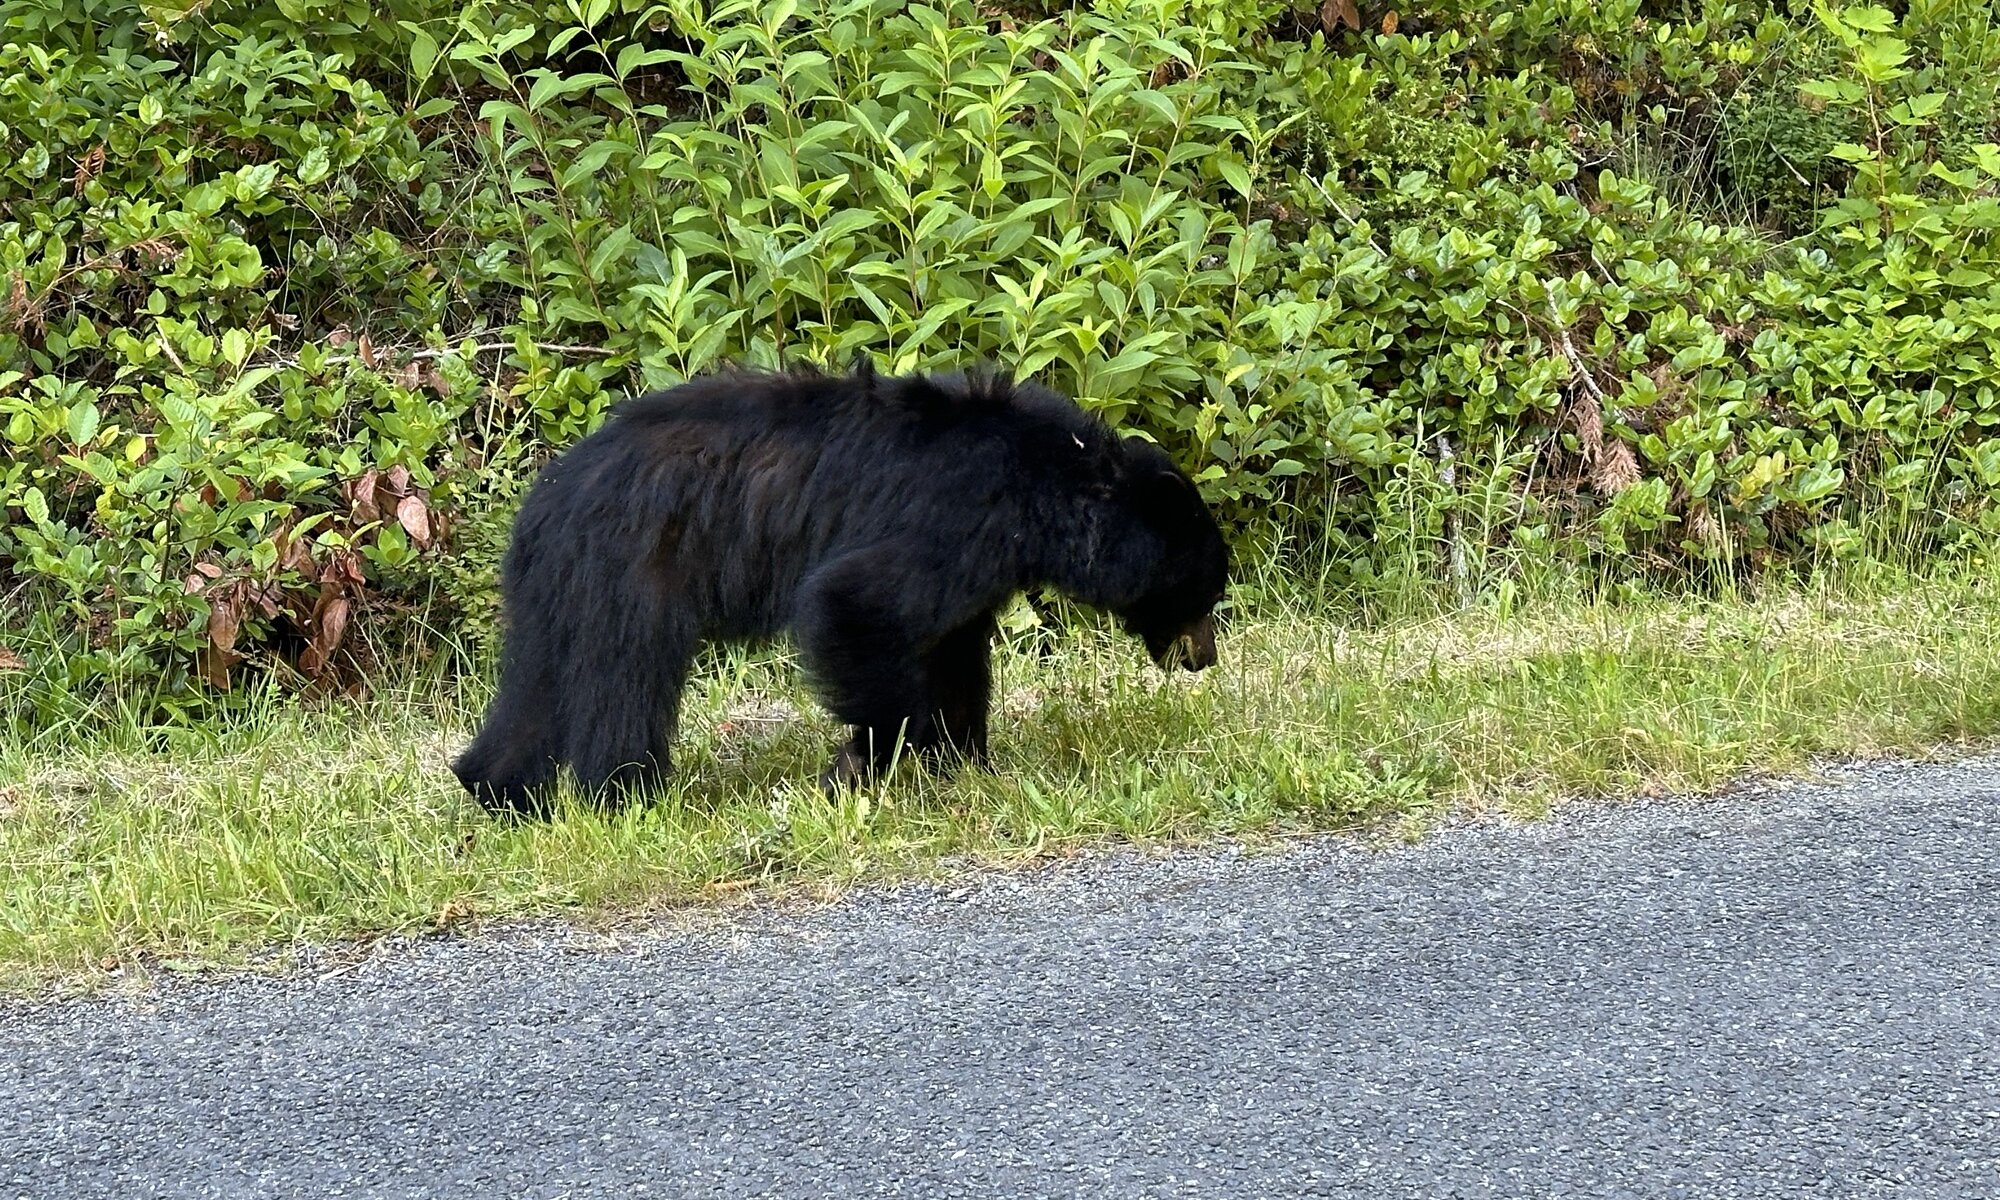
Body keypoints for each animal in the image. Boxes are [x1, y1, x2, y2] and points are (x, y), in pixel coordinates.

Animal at [454, 358, 1224, 816]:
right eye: (1205, 591)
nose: (1204, 658)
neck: (1050, 487)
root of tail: (551, 489)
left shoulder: (979, 565)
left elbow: (954, 651)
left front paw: (967, 764)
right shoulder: (955, 517)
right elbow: (855, 602)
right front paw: (861, 762)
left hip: (557, 586)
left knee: (537, 684)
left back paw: (497, 788)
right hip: (635, 567)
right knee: (623, 681)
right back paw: (626, 794)